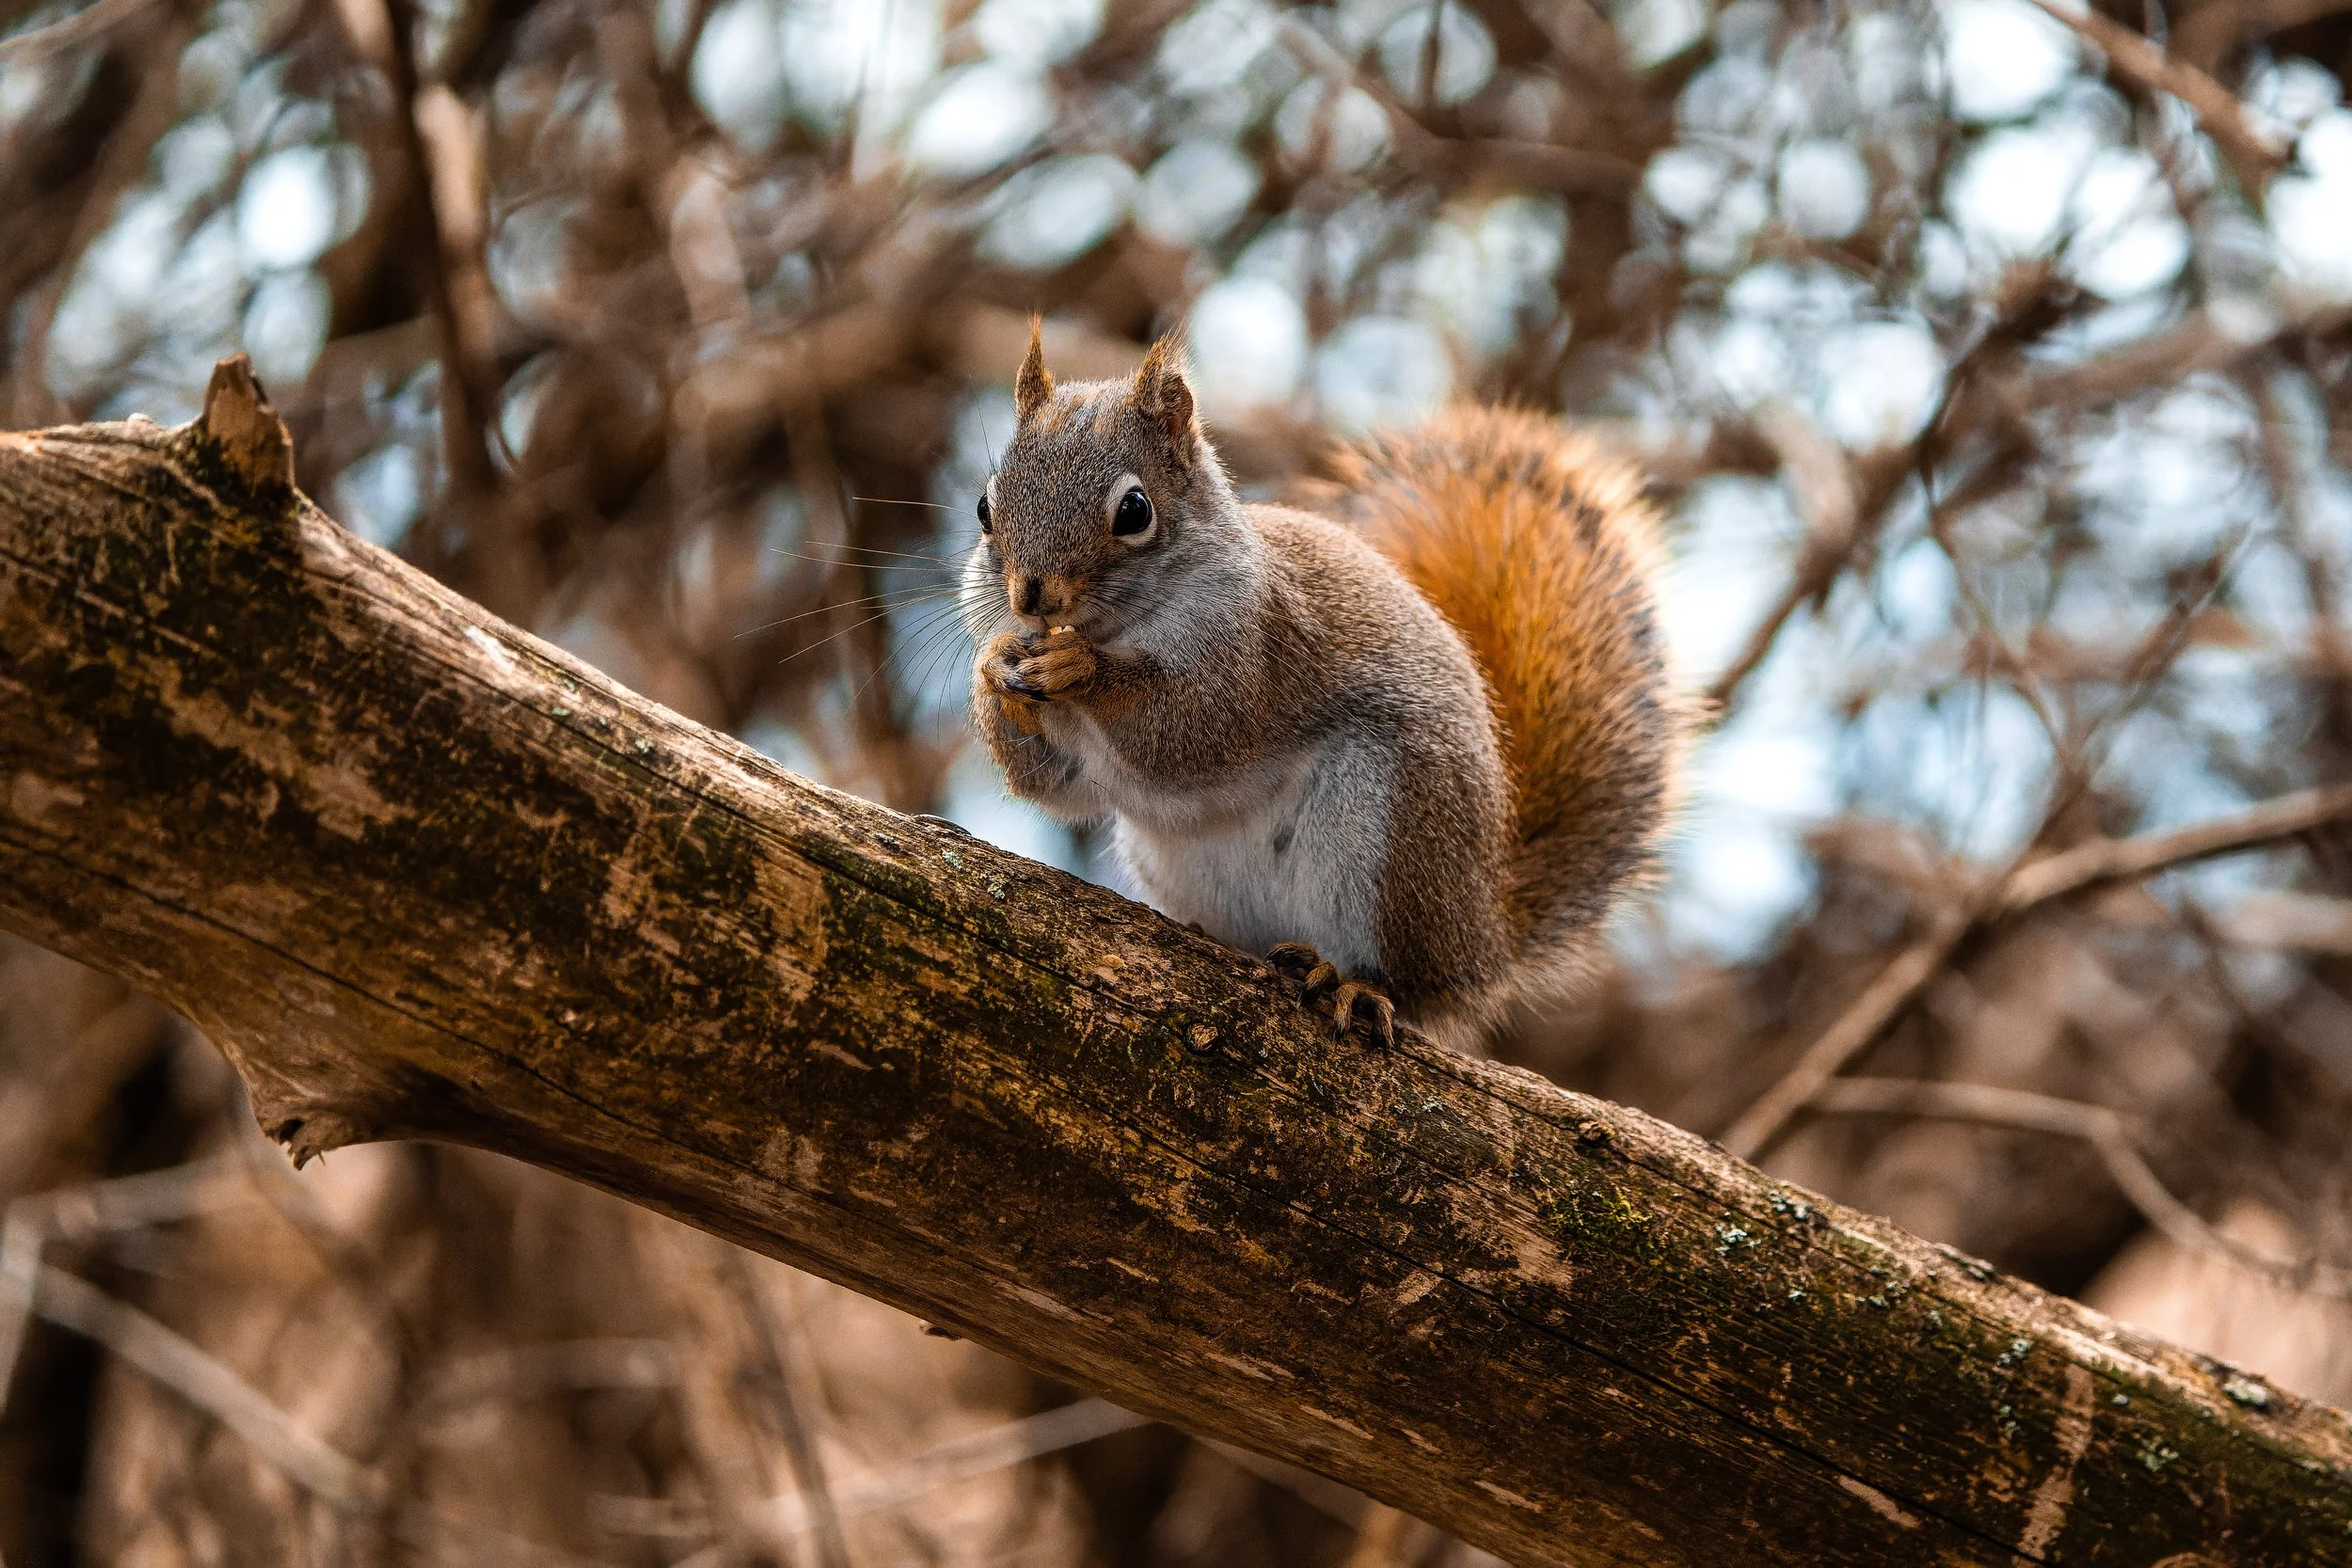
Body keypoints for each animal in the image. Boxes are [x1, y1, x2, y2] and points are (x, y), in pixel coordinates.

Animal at [962, 325, 1686, 1051]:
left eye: (1134, 511)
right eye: (985, 506)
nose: (1032, 597)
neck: (1117, 625)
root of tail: (1483, 939)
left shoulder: (1256, 645)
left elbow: (1189, 732)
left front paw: (1080, 668)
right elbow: (1060, 786)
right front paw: (994, 669)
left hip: (1385, 831)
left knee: (1402, 980)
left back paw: (1352, 982)